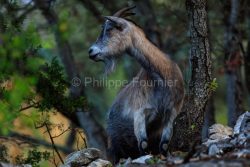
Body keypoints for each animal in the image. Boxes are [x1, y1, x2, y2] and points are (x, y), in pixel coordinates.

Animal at [88, 6, 184, 164]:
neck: (162, 78)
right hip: (113, 141)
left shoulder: (171, 111)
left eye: (109, 29)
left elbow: (164, 144)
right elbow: (143, 143)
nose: (91, 52)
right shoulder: (140, 112)